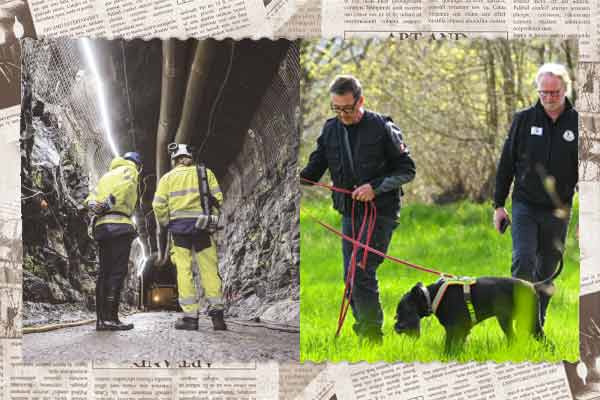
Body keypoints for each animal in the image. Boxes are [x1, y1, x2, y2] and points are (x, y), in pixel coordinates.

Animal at [396, 262, 560, 354]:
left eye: (402, 311)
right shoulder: (462, 331)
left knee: (548, 344)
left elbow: (448, 349)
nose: (396, 327)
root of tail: (533, 285)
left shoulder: (453, 329)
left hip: (527, 323)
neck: (431, 295)